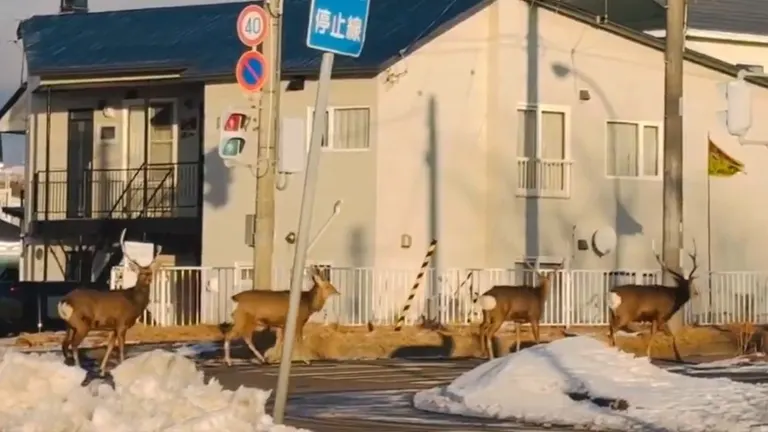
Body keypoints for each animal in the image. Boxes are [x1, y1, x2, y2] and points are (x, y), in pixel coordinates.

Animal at [57, 230, 162, 374]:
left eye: (150, 272)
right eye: (140, 273)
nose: (149, 279)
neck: (133, 301)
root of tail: (65, 300)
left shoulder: (113, 327)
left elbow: (110, 347)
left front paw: (102, 370)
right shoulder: (122, 323)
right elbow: (121, 349)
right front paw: (121, 367)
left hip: (69, 325)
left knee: (64, 344)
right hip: (81, 323)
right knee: (73, 345)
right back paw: (78, 368)